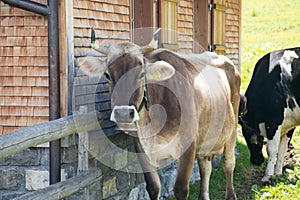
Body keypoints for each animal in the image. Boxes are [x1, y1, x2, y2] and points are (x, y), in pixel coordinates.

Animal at [78, 28, 240, 200]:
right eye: (107, 75)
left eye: (142, 74)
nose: (123, 113)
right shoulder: (141, 148)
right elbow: (153, 187)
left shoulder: (188, 147)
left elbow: (180, 189)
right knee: (205, 167)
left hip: (232, 129)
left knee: (229, 163)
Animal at [239, 47, 300, 183]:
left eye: (248, 136)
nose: (256, 161)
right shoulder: (289, 124)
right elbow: (282, 149)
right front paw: (277, 174)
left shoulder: (273, 121)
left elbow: (271, 150)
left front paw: (267, 177)